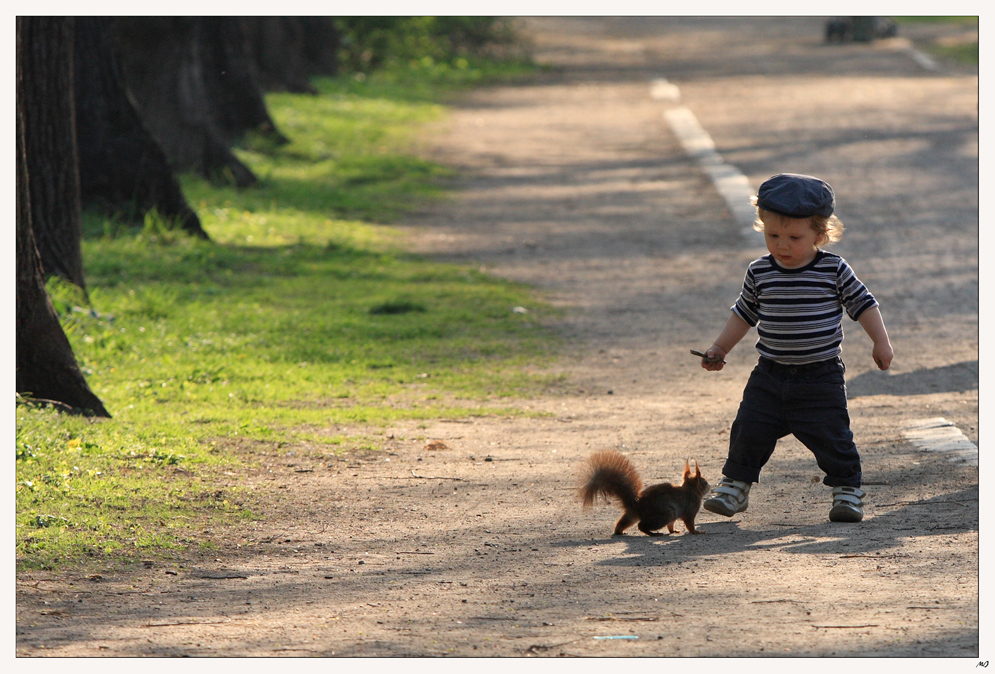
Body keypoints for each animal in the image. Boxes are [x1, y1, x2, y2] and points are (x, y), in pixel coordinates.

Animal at [580, 452, 712, 536]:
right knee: (641, 525)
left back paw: (620, 531)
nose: (710, 487)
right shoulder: (690, 511)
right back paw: (653, 534)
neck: (691, 490)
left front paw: (673, 531)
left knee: (622, 523)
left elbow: (671, 525)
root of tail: (637, 505)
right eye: (705, 482)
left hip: (632, 515)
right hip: (666, 514)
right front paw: (697, 532)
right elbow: (690, 524)